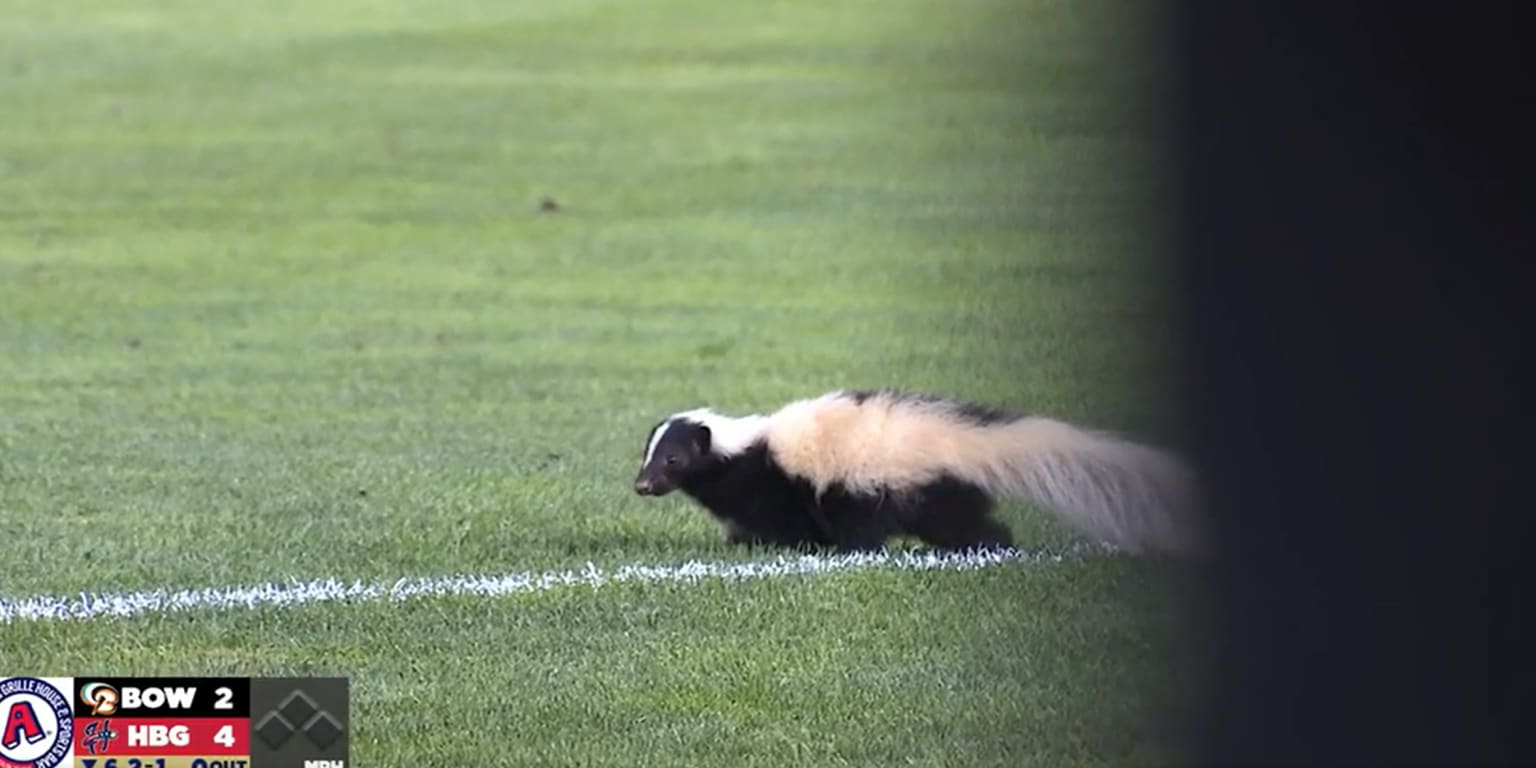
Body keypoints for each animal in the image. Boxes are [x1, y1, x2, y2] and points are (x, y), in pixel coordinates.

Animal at [629, 387, 1204, 556]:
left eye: (673, 460)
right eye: (647, 454)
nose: (641, 484)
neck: (747, 447)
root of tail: (963, 441)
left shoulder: (788, 483)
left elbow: (787, 521)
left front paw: (786, 546)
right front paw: (743, 540)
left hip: (906, 487)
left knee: (958, 526)